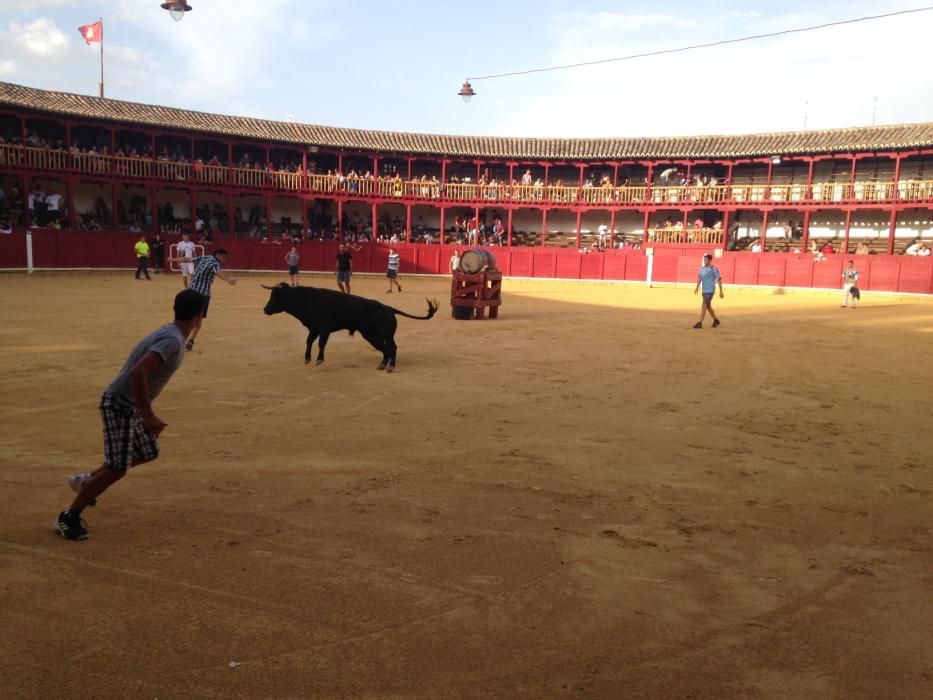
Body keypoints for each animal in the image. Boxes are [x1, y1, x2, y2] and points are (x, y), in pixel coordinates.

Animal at [260, 284, 438, 372]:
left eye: (276, 297)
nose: (265, 309)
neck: (307, 300)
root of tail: (389, 308)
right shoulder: (314, 328)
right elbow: (309, 341)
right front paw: (307, 358)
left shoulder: (324, 328)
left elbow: (321, 343)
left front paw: (319, 360)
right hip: (371, 336)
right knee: (385, 349)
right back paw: (382, 365)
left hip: (385, 334)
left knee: (392, 347)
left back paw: (391, 366)